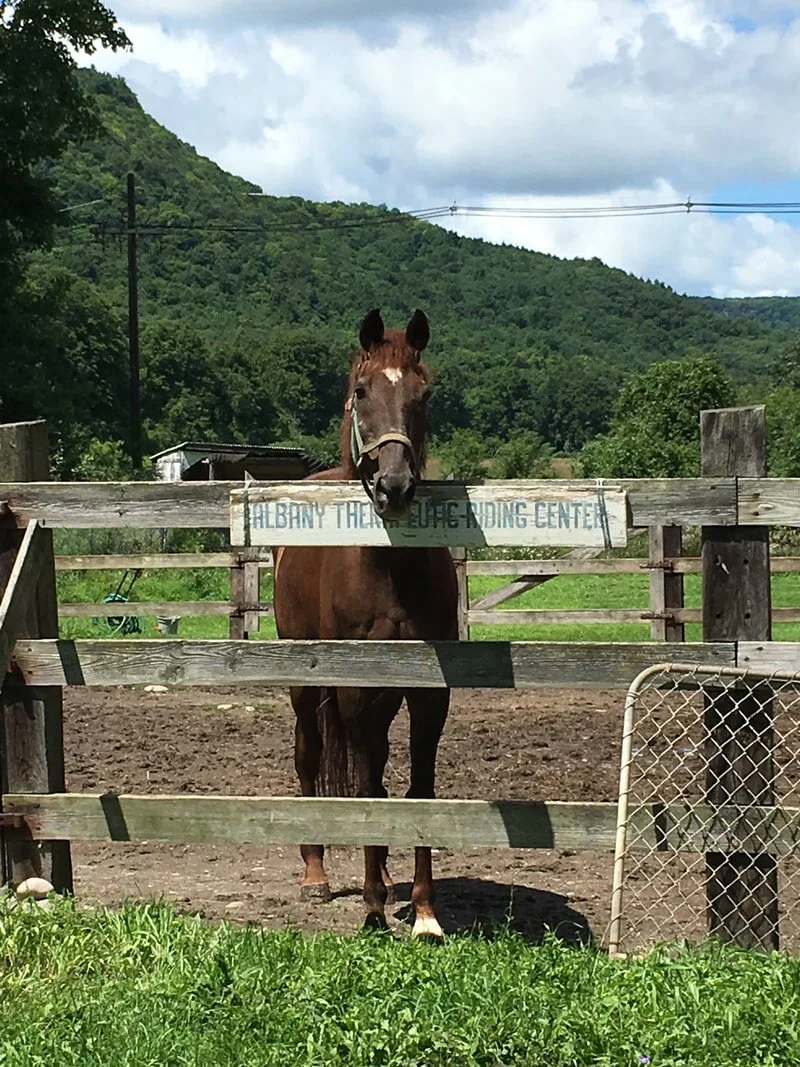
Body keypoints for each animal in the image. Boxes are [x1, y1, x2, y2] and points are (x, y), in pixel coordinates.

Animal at [272, 308, 458, 939]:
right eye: (361, 390)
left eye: (426, 393)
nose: (394, 487)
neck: (389, 566)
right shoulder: (356, 690)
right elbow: (365, 784)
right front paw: (375, 908)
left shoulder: (428, 695)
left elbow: (419, 789)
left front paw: (424, 913)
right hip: (307, 685)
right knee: (310, 756)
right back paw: (315, 874)